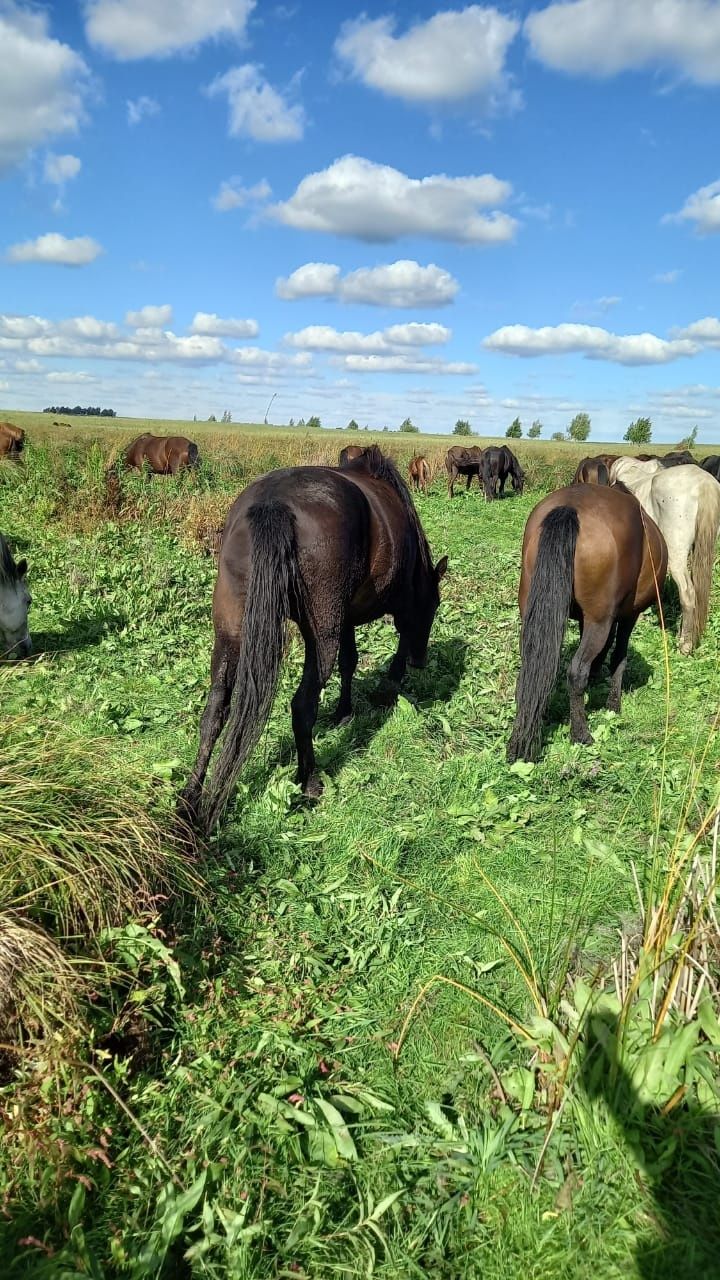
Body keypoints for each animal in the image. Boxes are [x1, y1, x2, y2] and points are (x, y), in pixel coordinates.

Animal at [179, 448, 445, 829]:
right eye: (434, 605)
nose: (420, 661)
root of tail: (273, 503)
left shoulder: (345, 618)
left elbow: (350, 662)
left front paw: (344, 712)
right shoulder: (393, 604)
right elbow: (395, 640)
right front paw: (387, 688)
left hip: (231, 632)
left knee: (215, 709)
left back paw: (190, 794)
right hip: (320, 636)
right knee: (302, 705)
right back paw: (309, 782)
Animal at [504, 481, 666, 757]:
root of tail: (570, 508)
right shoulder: (628, 615)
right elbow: (619, 658)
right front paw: (613, 706)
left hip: (532, 614)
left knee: (532, 668)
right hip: (599, 621)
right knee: (576, 671)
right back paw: (581, 734)